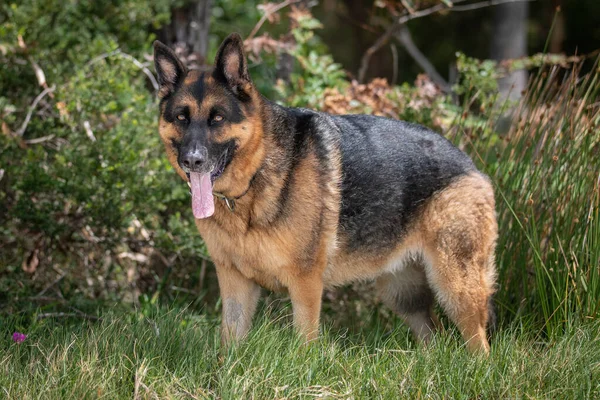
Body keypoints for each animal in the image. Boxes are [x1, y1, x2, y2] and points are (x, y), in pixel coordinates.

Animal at [154, 33, 496, 354]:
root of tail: (471, 165)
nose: (192, 160)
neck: (256, 173)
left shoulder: (305, 283)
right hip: (403, 293)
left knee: (479, 345)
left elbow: (304, 342)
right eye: (181, 118)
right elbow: (229, 343)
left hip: (455, 288)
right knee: (434, 340)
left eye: (218, 118)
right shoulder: (235, 283)